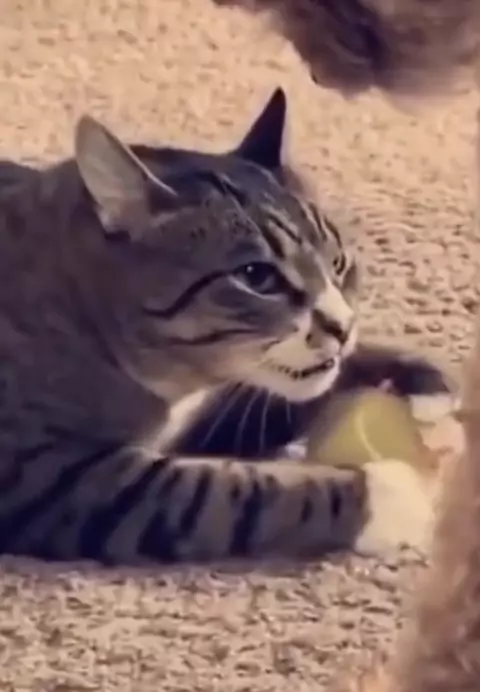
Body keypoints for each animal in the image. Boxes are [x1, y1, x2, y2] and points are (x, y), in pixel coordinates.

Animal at [0, 87, 452, 564]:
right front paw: (388, 495)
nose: (342, 327)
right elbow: (225, 492)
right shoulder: (46, 476)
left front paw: (417, 385)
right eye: (257, 277)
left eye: (339, 264)